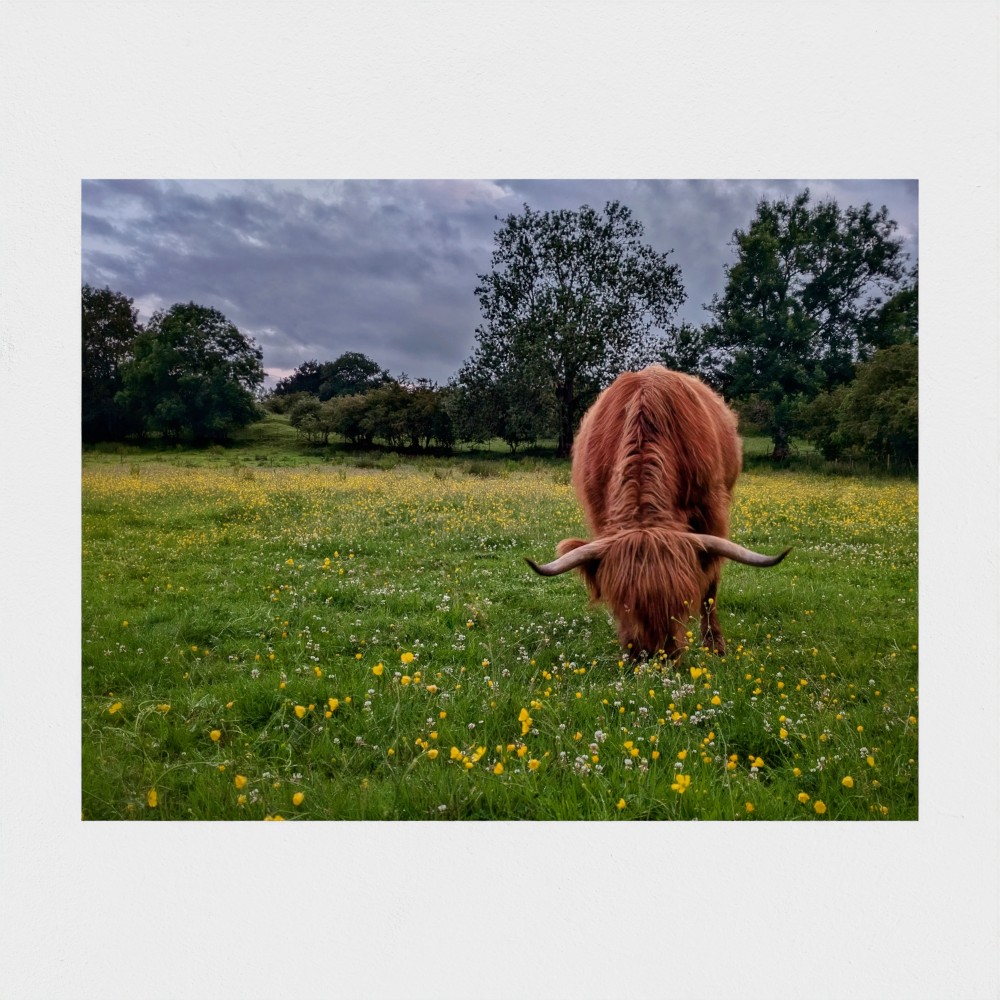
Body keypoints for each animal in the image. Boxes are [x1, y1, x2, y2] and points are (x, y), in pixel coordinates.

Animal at [527, 365, 789, 658]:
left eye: (680, 601)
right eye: (622, 603)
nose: (654, 654)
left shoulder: (712, 515)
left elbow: (709, 587)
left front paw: (714, 645)